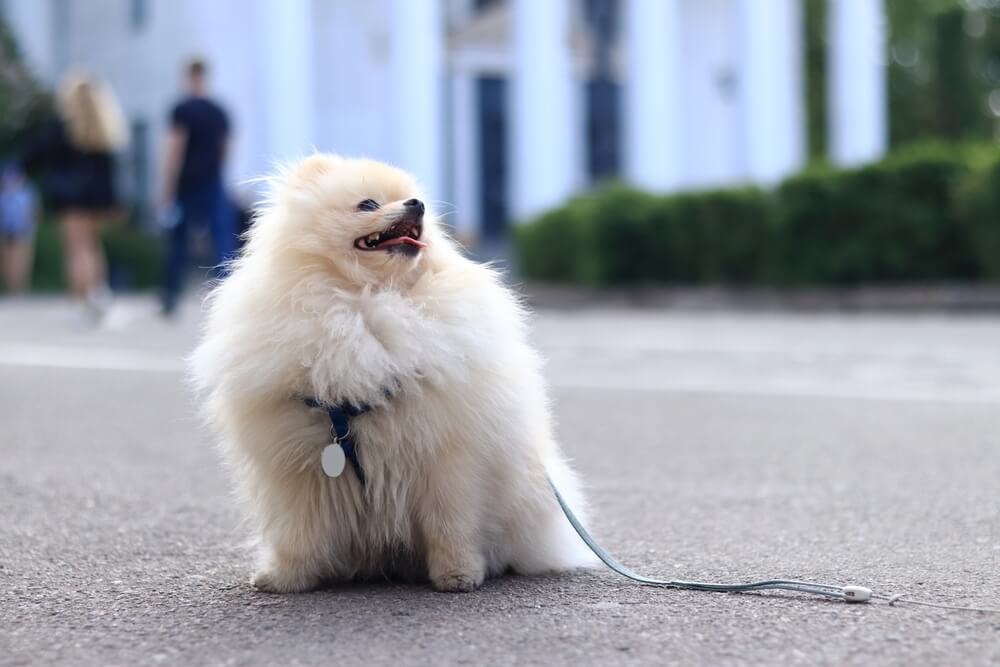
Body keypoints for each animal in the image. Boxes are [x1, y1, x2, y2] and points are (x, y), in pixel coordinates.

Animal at [191, 154, 588, 592]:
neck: (369, 298)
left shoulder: (447, 459)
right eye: (368, 204)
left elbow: (451, 525)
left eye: (415, 201)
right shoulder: (296, 468)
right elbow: (298, 530)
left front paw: (458, 574)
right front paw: (286, 577)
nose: (418, 204)